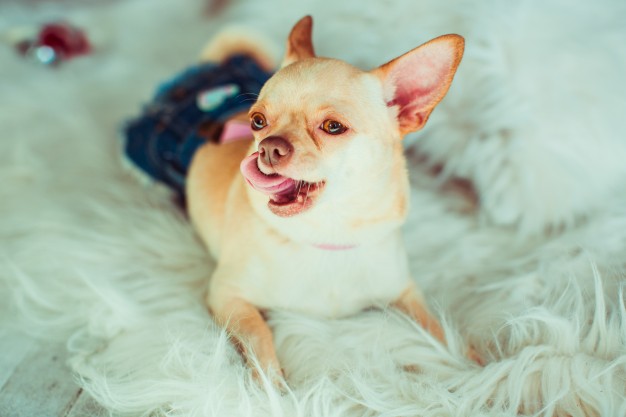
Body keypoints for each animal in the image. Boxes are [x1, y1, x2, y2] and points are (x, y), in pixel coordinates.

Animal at [185, 16, 464, 380]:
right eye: (257, 122)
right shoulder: (228, 296)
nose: (269, 147)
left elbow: (441, 333)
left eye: (333, 127)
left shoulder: (405, 292)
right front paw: (273, 388)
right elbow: (260, 338)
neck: (331, 232)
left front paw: (478, 365)